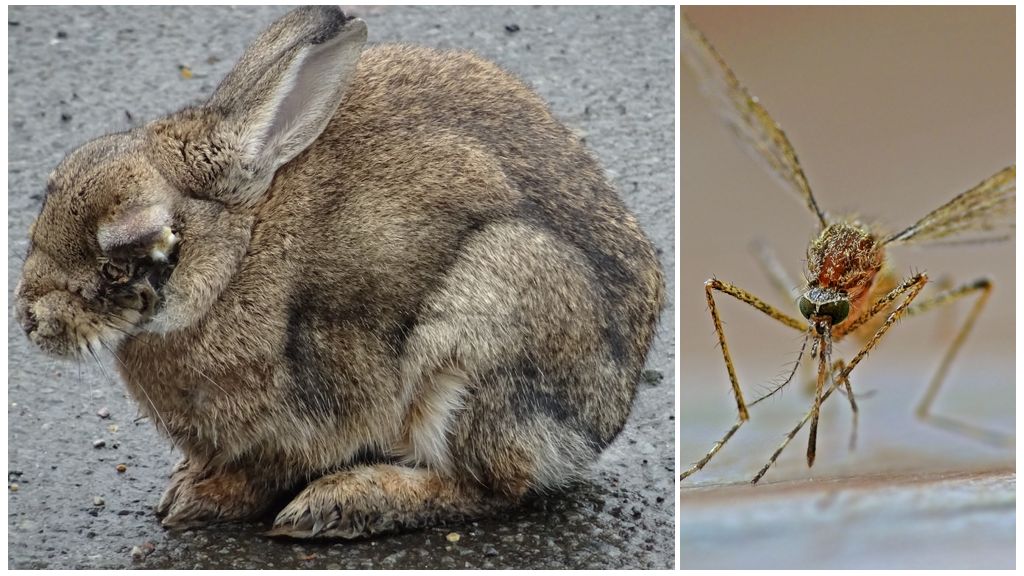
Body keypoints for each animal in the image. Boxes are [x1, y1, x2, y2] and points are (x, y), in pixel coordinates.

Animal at [14, 5, 663, 537]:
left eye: (131, 252)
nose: (30, 319)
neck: (237, 253)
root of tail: (603, 418)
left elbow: (271, 467)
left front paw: (204, 499)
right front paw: (187, 490)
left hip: (485, 332)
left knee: (495, 486)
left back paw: (344, 503)